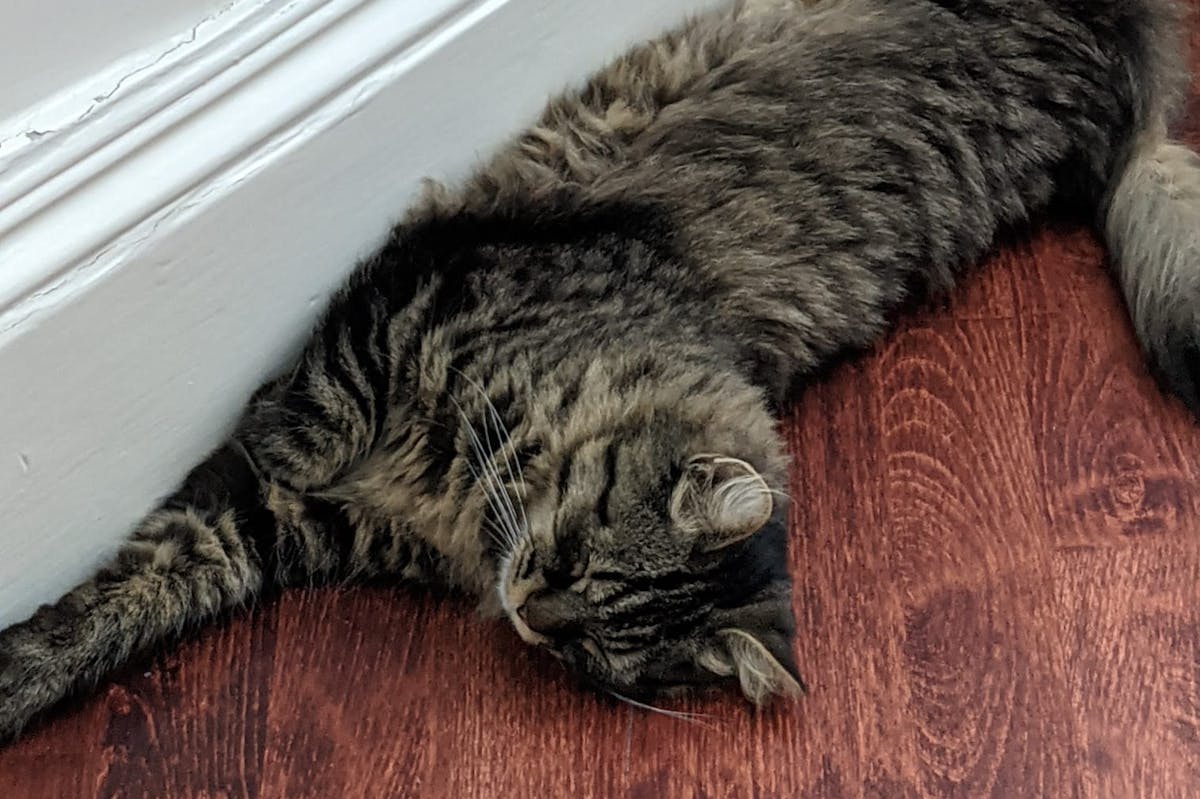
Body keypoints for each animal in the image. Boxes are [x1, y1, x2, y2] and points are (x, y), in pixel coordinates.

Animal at [2, 0, 1200, 739]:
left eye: (594, 651)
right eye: (574, 559)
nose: (532, 613)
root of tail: (1133, 66)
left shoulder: (295, 521)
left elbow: (151, 584)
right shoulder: (353, 361)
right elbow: (133, 579)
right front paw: (21, 669)